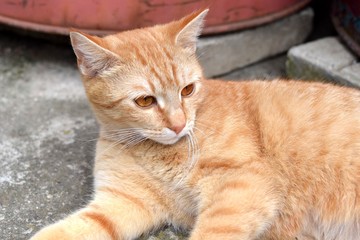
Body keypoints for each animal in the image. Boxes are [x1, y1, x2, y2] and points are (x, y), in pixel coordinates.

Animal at [31, 8, 360, 239]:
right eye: (145, 101)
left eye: (187, 90)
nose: (178, 125)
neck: (152, 153)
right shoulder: (122, 202)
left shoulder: (244, 182)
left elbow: (213, 232)